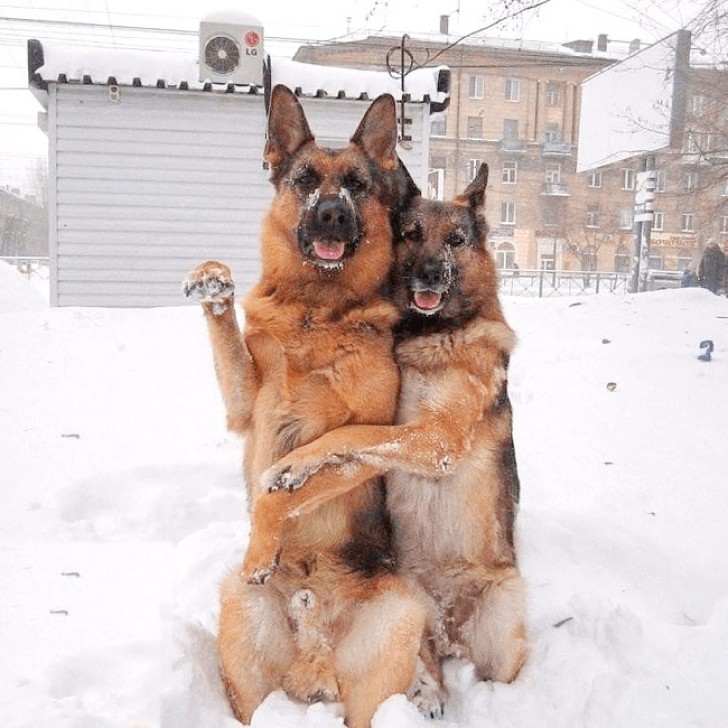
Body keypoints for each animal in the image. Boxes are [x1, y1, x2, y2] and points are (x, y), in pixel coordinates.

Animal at [183, 85, 426, 728]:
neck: (316, 312)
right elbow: (230, 341)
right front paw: (213, 282)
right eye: (305, 179)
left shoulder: (369, 437)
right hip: (240, 620)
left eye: (358, 185)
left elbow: (287, 483)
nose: (333, 213)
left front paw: (265, 534)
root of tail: (314, 635)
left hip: (398, 628)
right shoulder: (247, 408)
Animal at [247, 162, 528, 712]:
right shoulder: (405, 431)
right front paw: (297, 467)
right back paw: (427, 694)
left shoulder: (435, 440)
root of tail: (450, 625)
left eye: (456, 240)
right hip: (411, 604)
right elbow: (358, 438)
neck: (430, 333)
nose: (430, 274)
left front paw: (292, 466)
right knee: (427, 665)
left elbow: (357, 433)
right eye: (412, 234)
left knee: (503, 674)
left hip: (504, 623)